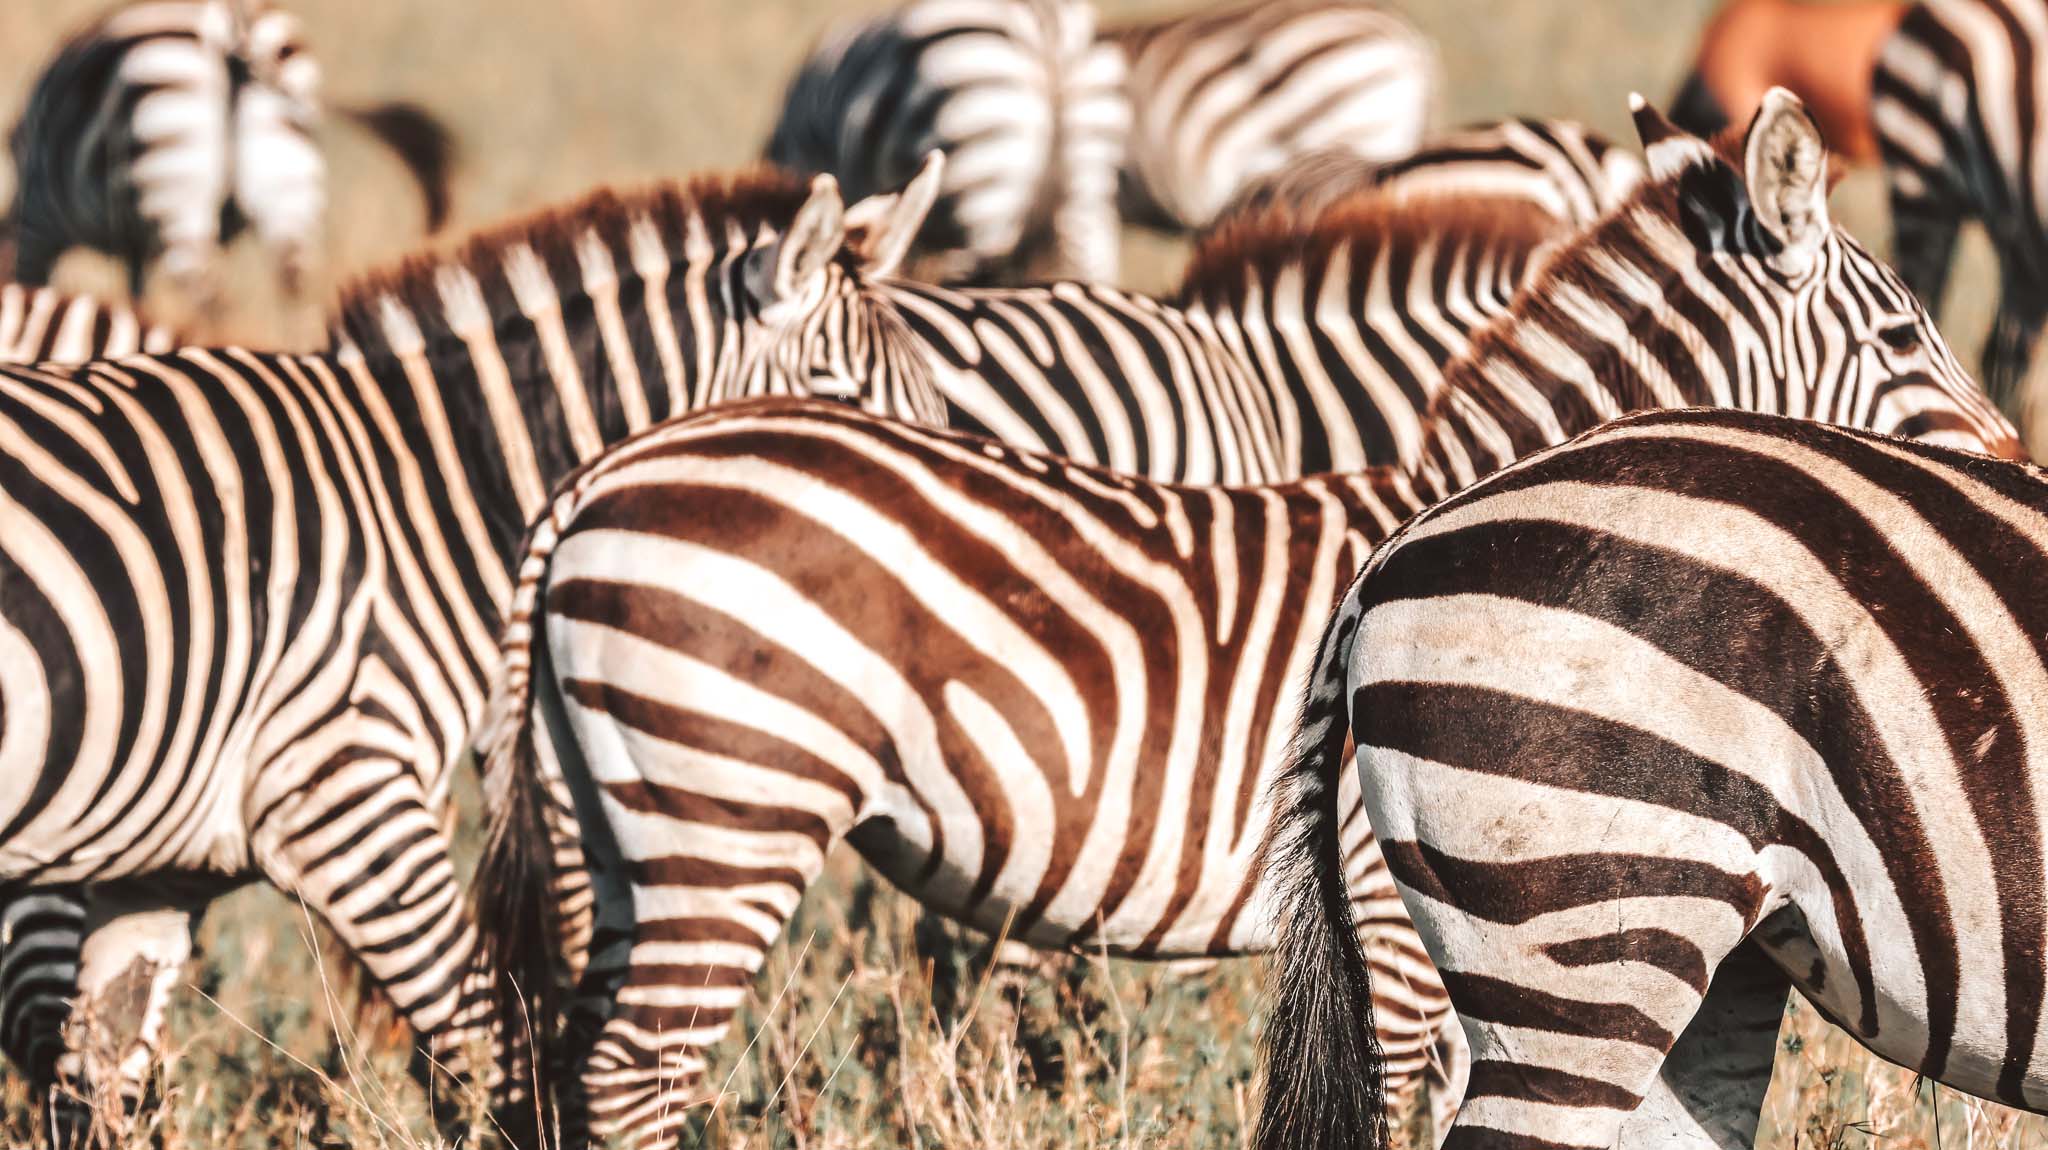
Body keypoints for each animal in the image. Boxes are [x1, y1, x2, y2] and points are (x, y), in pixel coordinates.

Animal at [7, 0, 455, 307]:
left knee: (212, 298)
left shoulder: (39, 224)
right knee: (295, 287)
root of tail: (237, 33)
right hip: (287, 178)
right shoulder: (130, 243)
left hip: (174, 179)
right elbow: (138, 295)